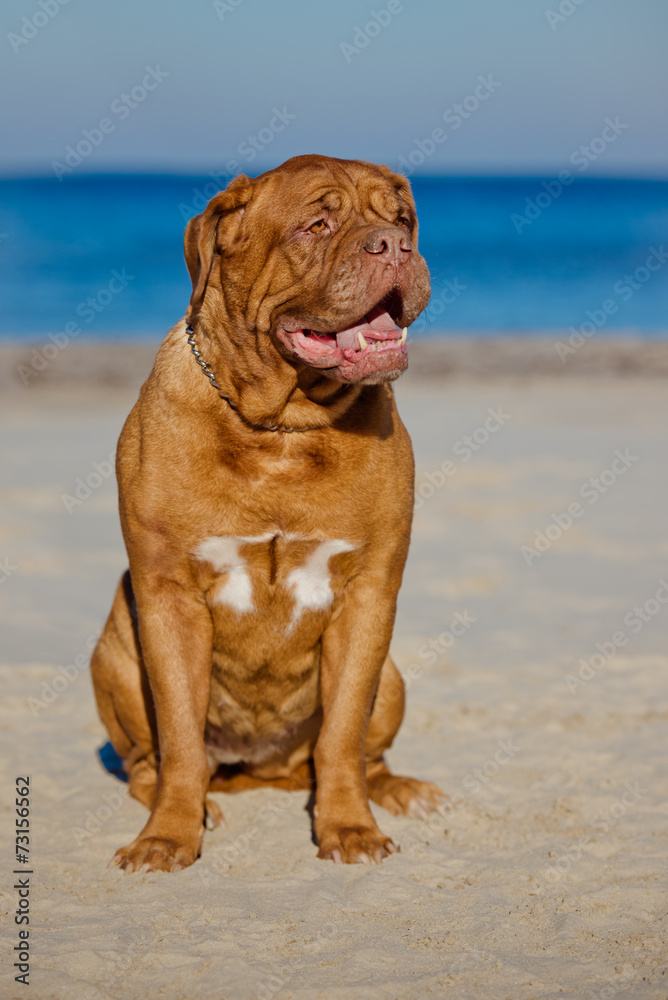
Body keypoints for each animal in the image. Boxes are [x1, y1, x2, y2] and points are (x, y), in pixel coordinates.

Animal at [88, 152, 444, 872]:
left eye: (401, 219)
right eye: (317, 225)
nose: (395, 246)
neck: (285, 426)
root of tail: (265, 768)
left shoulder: (369, 598)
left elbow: (342, 735)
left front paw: (349, 828)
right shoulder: (167, 597)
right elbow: (180, 738)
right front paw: (168, 836)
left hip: (391, 677)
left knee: (362, 752)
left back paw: (401, 789)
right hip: (115, 647)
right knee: (147, 763)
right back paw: (201, 805)